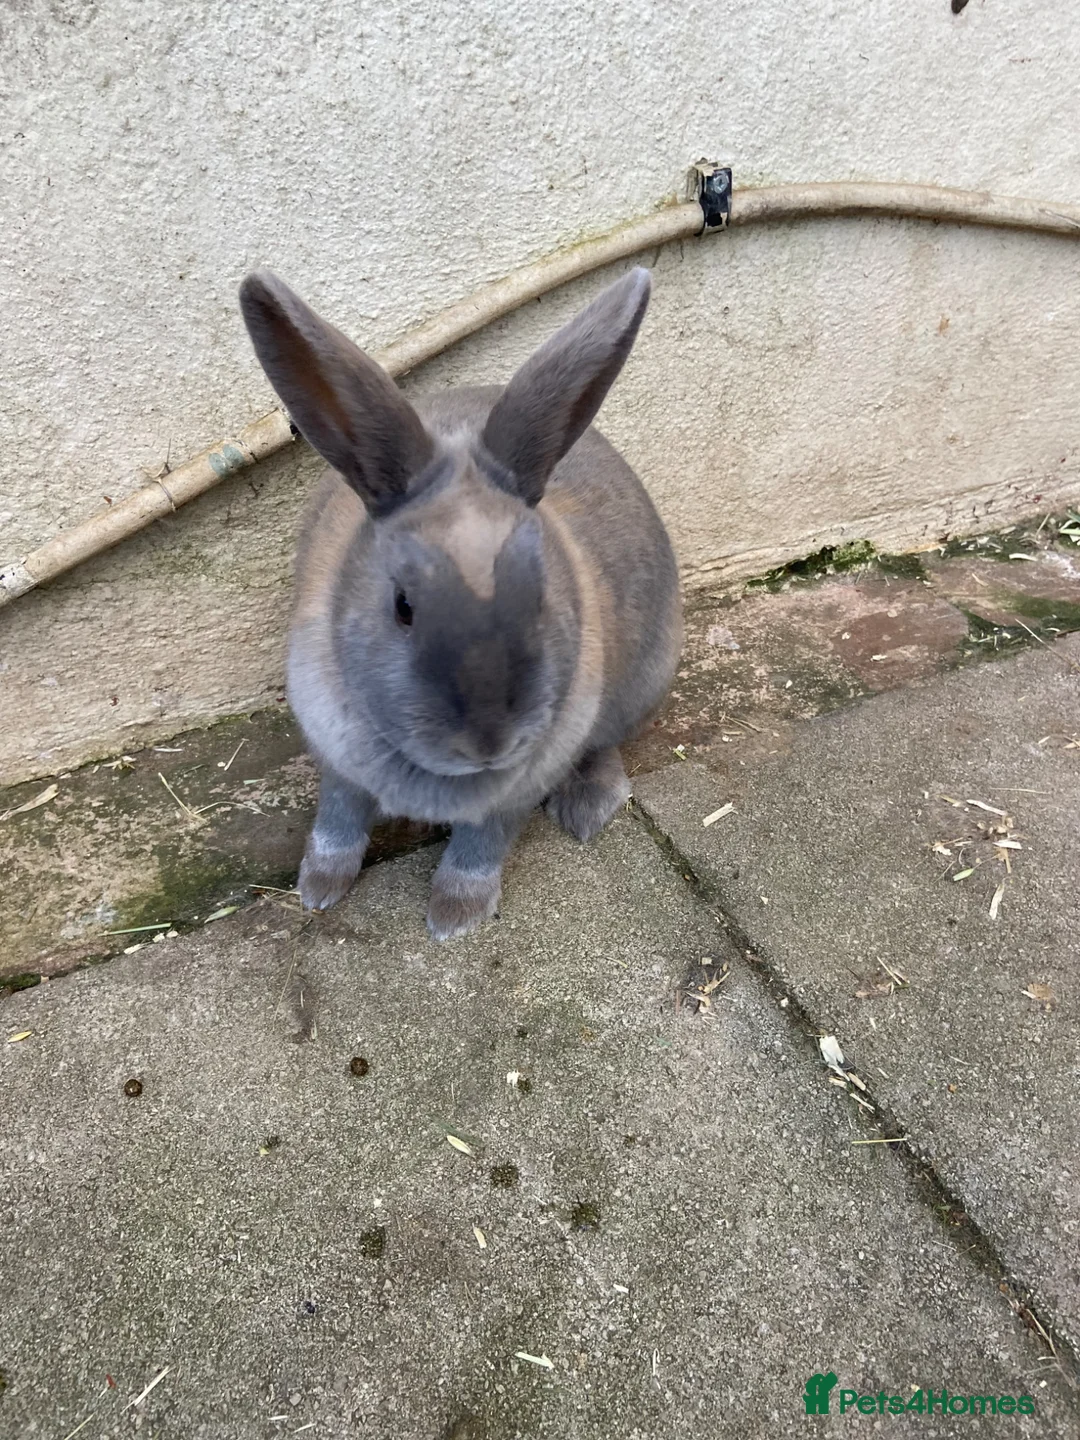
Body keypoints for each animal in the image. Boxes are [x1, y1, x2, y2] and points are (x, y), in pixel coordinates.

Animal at [239, 264, 682, 940]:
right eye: (402, 605)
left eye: (541, 595)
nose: (488, 743)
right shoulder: (337, 763)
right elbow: (337, 821)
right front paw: (317, 892)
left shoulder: (516, 790)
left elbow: (480, 847)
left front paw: (453, 919)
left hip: (639, 684)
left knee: (606, 746)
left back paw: (585, 812)